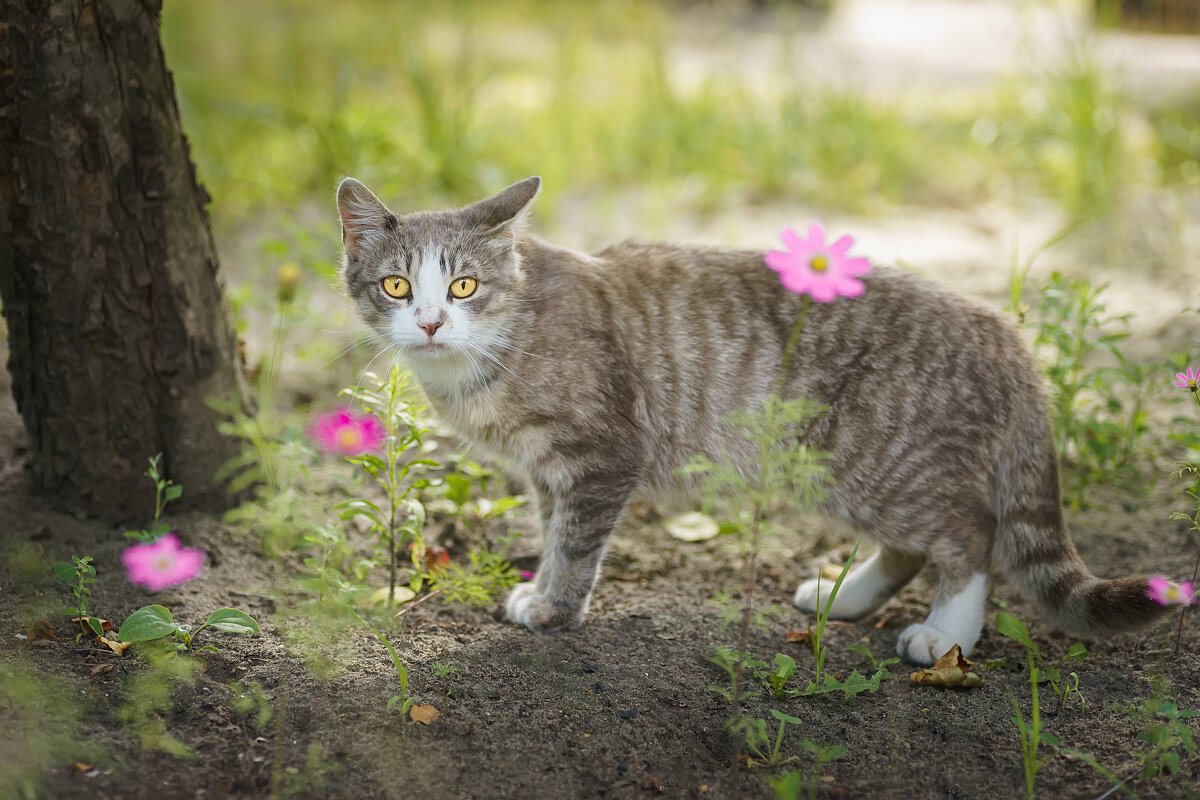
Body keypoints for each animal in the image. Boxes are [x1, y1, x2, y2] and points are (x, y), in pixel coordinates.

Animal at [338, 176, 1171, 671]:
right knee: (911, 543)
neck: (503, 334)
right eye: (397, 285)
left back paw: (948, 634)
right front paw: (541, 587)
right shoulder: (550, 471)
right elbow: (551, 532)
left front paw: (554, 606)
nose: (432, 322)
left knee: (970, 533)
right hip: (848, 469)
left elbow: (575, 545)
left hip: (877, 457)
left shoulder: (602, 455)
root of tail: (1004, 333)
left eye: (465, 286)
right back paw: (849, 596)